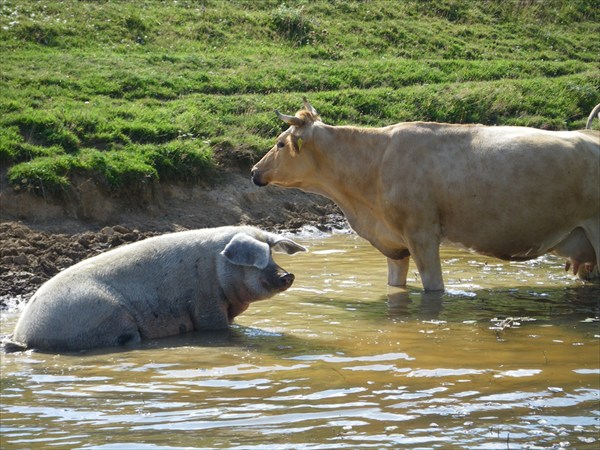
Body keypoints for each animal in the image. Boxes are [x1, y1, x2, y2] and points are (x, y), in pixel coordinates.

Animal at [4, 227, 304, 354]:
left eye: (273, 254)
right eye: (257, 260)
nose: (287, 274)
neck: (216, 269)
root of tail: (23, 336)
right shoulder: (206, 305)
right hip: (106, 317)